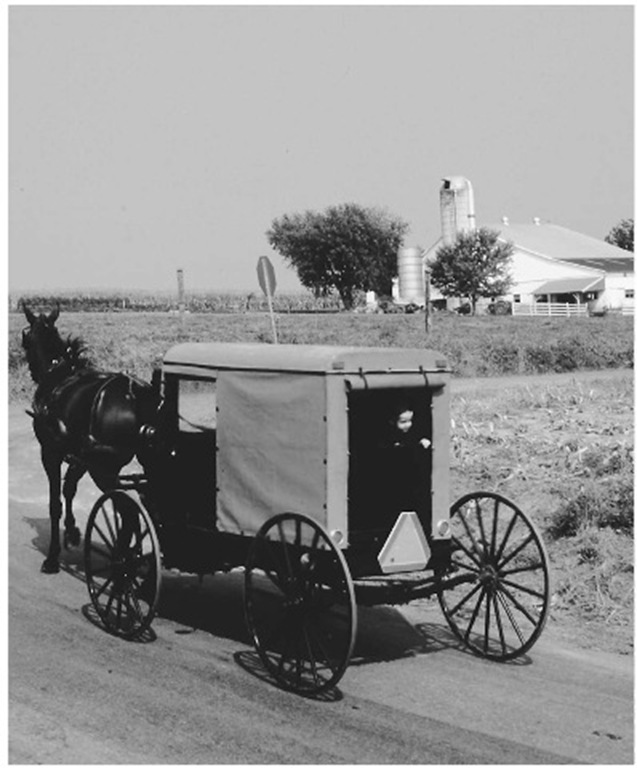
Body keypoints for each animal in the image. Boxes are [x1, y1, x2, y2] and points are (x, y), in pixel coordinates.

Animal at [21, 304, 160, 572]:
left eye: (25, 339)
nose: (32, 372)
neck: (58, 375)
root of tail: (135, 393)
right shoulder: (79, 456)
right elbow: (69, 489)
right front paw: (73, 531)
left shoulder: (50, 452)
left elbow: (55, 502)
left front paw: (53, 556)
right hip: (138, 463)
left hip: (104, 468)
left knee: (128, 512)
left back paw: (122, 560)